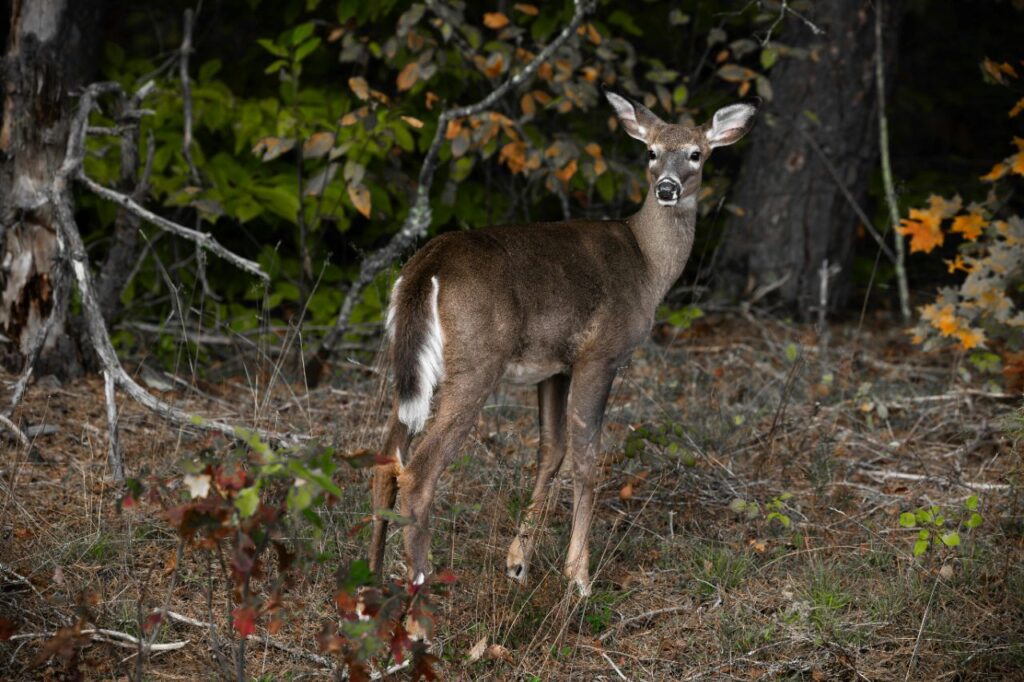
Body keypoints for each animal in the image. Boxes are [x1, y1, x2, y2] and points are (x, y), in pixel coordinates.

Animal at [368, 88, 757, 596]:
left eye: (695, 153)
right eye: (651, 152)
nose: (667, 188)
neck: (648, 266)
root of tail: (425, 267)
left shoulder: (553, 367)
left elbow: (550, 451)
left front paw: (518, 563)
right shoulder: (601, 353)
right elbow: (586, 459)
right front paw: (579, 577)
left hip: (408, 360)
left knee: (386, 458)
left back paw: (370, 579)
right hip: (476, 360)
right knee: (417, 472)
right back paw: (419, 585)